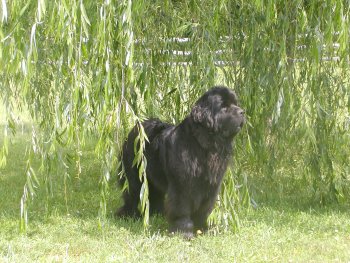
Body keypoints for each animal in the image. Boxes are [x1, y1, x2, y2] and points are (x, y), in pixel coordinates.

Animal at [116, 86, 245, 239]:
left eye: (235, 104)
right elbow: (182, 209)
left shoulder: (210, 187)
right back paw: (128, 214)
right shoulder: (182, 186)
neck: (204, 146)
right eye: (224, 108)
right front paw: (183, 232)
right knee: (133, 193)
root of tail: (137, 127)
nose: (242, 112)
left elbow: (204, 210)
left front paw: (202, 229)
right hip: (135, 175)